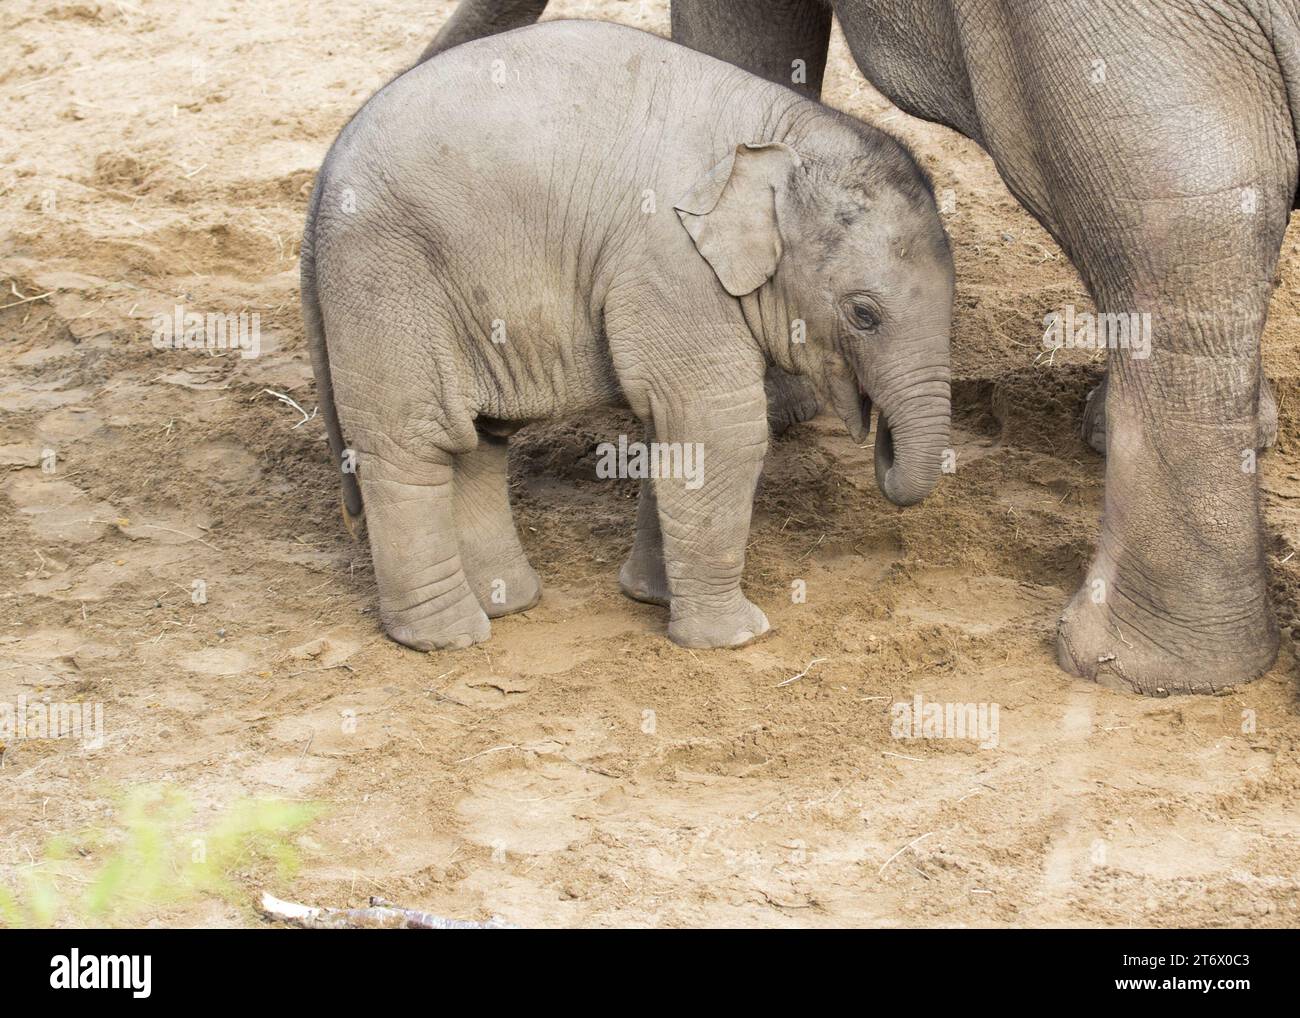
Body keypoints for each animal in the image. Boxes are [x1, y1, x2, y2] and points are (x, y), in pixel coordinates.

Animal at [304, 21, 956, 652]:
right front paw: (736, 638)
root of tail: (323, 178)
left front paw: (651, 599)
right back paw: (448, 638)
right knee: (411, 444)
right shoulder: (670, 264)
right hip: (386, 278)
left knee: (478, 441)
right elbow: (719, 426)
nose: (880, 438)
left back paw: (507, 603)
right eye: (863, 313)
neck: (783, 131)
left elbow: (668, 425)